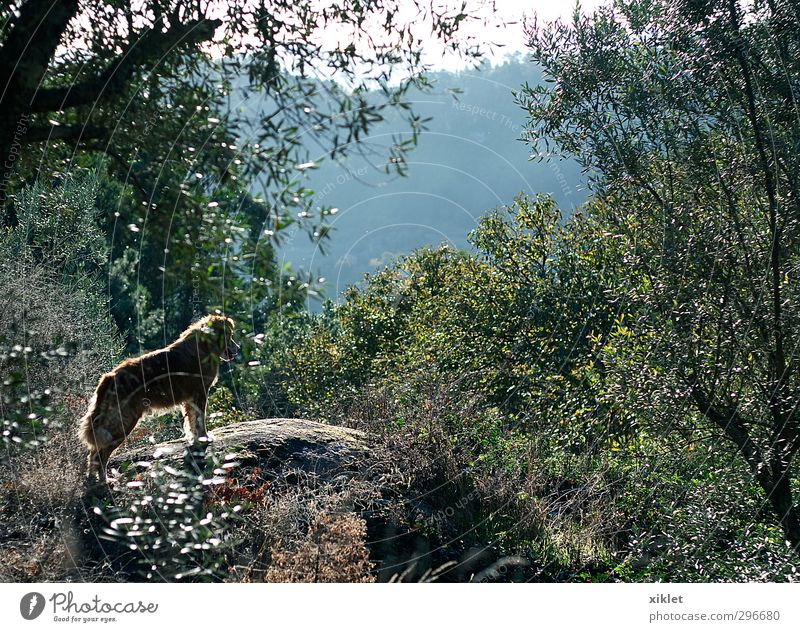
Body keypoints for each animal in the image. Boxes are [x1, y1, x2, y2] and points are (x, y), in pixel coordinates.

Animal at [79, 314, 239, 482]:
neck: (205, 345)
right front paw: (204, 437)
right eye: (229, 336)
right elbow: (200, 420)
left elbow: (192, 422)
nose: (238, 348)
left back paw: (92, 479)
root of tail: (110, 376)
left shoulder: (190, 400)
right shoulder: (201, 393)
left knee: (93, 452)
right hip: (123, 422)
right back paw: (105, 480)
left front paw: (195, 439)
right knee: (101, 454)